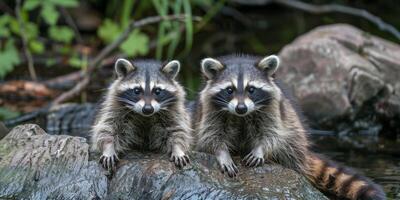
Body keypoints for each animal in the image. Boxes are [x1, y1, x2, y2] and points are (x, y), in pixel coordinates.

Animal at [195, 54, 386, 200]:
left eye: (251, 89)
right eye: (229, 90)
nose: (241, 108)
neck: (241, 116)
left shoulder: (273, 108)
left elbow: (273, 134)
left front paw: (261, 149)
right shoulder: (209, 111)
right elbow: (210, 135)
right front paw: (223, 154)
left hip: (295, 135)